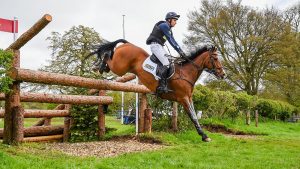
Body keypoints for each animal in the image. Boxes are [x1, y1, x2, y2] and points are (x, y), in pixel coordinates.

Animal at [89, 39, 225, 142]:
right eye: (215, 58)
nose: (223, 75)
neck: (186, 73)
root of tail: (127, 44)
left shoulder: (189, 98)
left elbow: (195, 115)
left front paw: (203, 134)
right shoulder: (183, 98)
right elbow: (193, 117)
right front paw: (204, 136)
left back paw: (101, 67)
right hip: (120, 67)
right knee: (108, 57)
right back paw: (98, 66)